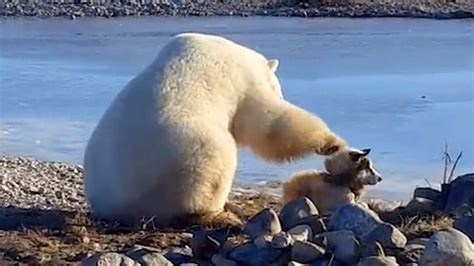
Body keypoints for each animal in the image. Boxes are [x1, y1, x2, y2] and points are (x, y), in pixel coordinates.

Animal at [83, 32, 346, 225]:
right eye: (278, 87)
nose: (281, 92)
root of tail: (115, 205)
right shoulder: (243, 82)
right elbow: (267, 123)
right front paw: (333, 143)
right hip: (183, 152)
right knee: (216, 160)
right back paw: (220, 213)